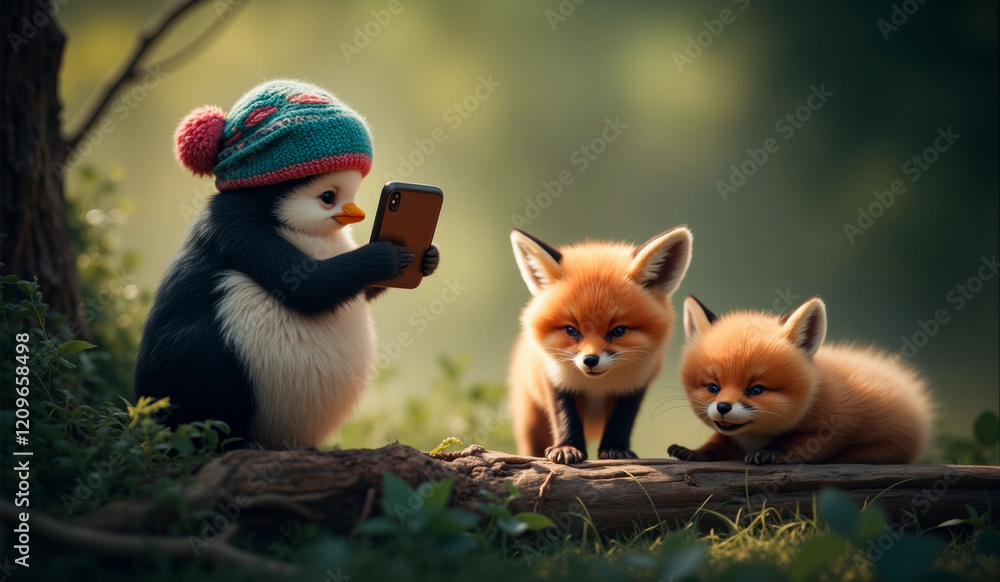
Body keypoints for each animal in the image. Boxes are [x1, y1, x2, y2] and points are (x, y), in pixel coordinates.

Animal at [508, 226, 693, 464]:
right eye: (571, 330)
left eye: (618, 331)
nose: (590, 360)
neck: (597, 385)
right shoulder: (554, 378)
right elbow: (564, 417)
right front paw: (567, 447)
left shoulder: (635, 383)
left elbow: (621, 421)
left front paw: (615, 449)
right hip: (530, 422)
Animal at [668, 296, 934, 465]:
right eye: (713, 387)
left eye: (756, 390)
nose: (723, 407)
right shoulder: (730, 436)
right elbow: (716, 443)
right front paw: (694, 452)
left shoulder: (831, 427)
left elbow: (795, 442)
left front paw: (769, 452)